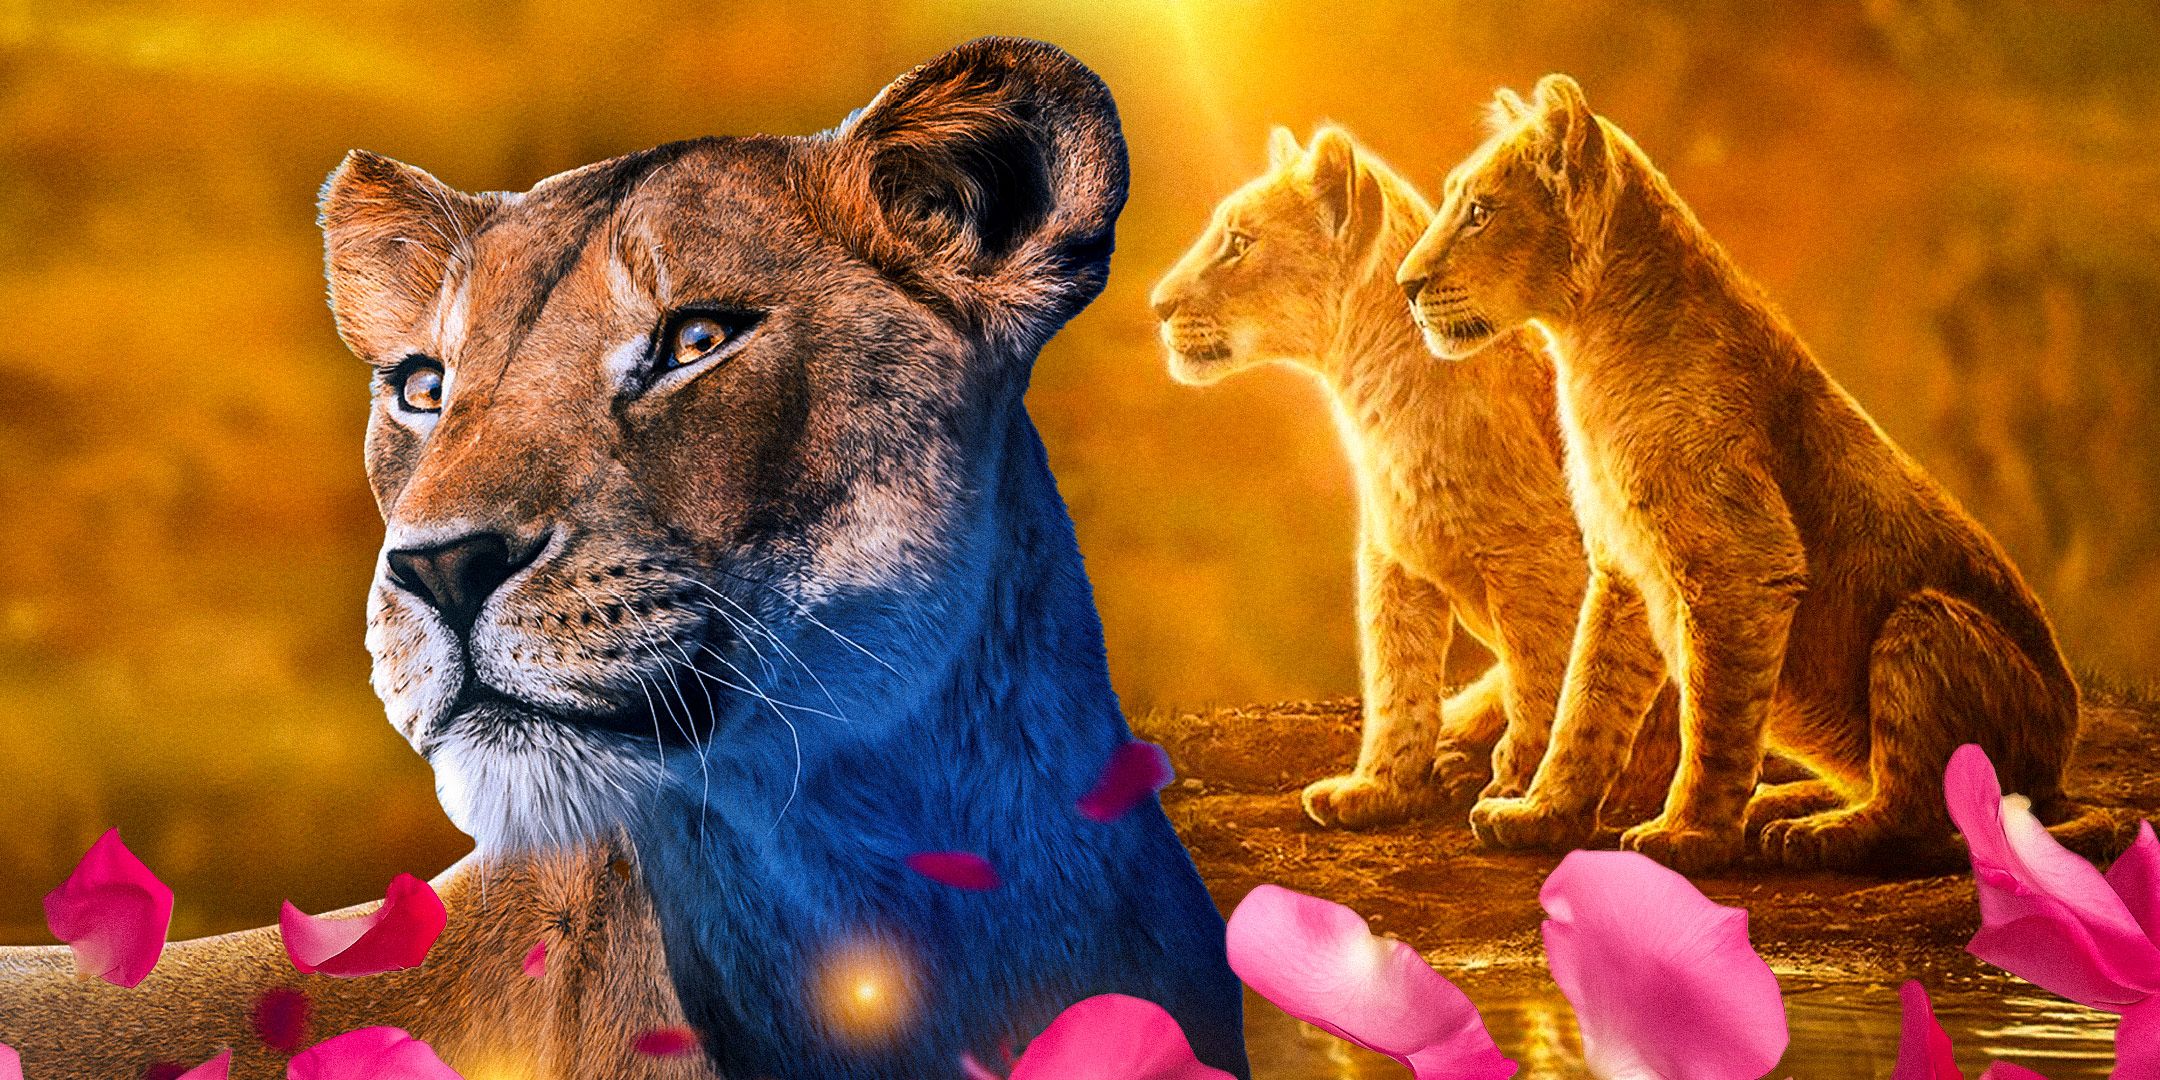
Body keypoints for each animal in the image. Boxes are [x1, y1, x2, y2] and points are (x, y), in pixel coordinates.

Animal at [1148, 126, 1678, 830]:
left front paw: (1518, 787)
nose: (1157, 306)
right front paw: (1378, 788)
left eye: (1239, 242)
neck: (1373, 398)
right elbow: (1397, 678)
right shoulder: (1391, 562)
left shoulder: (1532, 561)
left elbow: (1547, 675)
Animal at [1396, 74, 2103, 873]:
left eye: (1480, 213)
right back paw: (1789, 801)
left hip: (1924, 624)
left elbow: (1713, 714)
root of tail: (2058, 765)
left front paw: (1688, 836)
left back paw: (1821, 832)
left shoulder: (1741, 565)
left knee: (1920, 811)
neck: (1587, 349)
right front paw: (1541, 814)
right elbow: (1588, 702)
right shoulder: (1621, 569)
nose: (1406, 284)